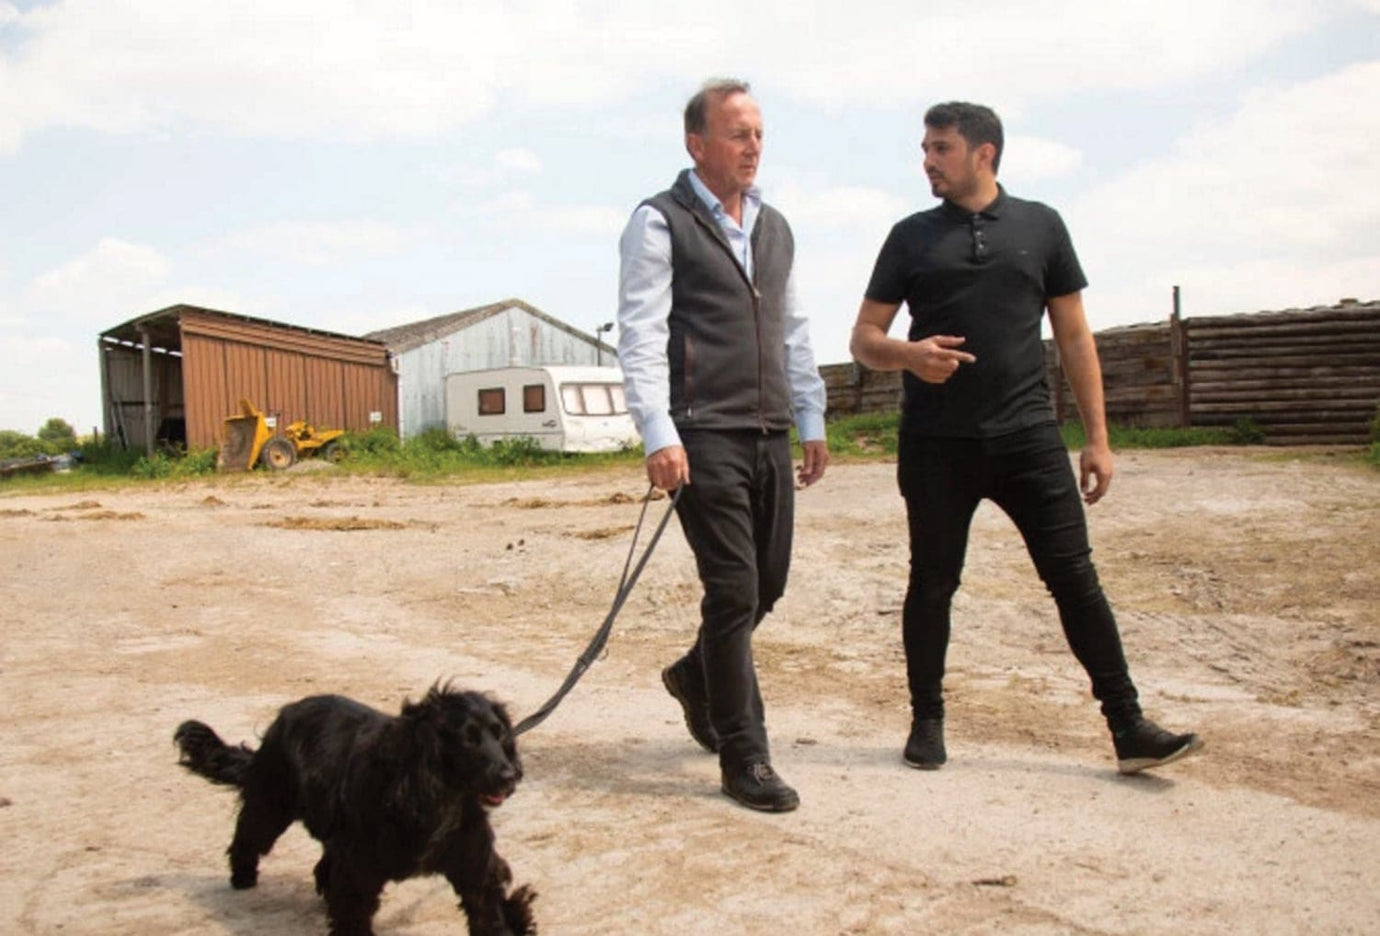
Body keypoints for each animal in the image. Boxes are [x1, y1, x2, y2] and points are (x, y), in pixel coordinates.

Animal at [173, 681, 538, 936]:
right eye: (467, 739)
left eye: (500, 734)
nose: (509, 776)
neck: (435, 796)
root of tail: (288, 712)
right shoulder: (359, 873)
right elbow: (353, 916)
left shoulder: (474, 868)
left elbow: (488, 915)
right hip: (271, 803)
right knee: (247, 837)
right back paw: (243, 878)